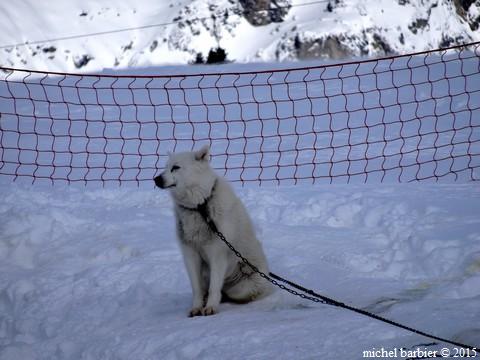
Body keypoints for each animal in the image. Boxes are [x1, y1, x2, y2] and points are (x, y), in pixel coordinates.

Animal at [156, 145, 272, 316]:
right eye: (165, 167)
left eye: (175, 167)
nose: (156, 179)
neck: (199, 207)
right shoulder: (190, 255)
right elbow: (197, 289)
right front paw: (196, 308)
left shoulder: (217, 255)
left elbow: (214, 288)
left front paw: (210, 307)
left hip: (244, 286)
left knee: (230, 293)